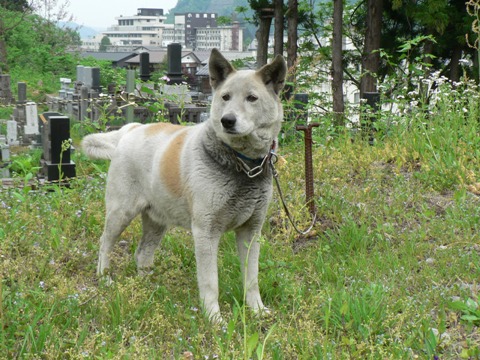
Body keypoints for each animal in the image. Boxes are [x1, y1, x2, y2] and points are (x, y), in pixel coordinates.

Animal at [81, 48, 286, 320]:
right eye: (225, 97)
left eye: (252, 98)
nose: (227, 120)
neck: (241, 164)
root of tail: (130, 129)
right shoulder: (206, 232)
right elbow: (210, 282)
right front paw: (214, 319)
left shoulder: (251, 231)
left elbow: (251, 277)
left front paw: (257, 310)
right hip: (120, 213)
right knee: (105, 243)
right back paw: (104, 277)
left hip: (156, 221)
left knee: (142, 253)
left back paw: (150, 286)